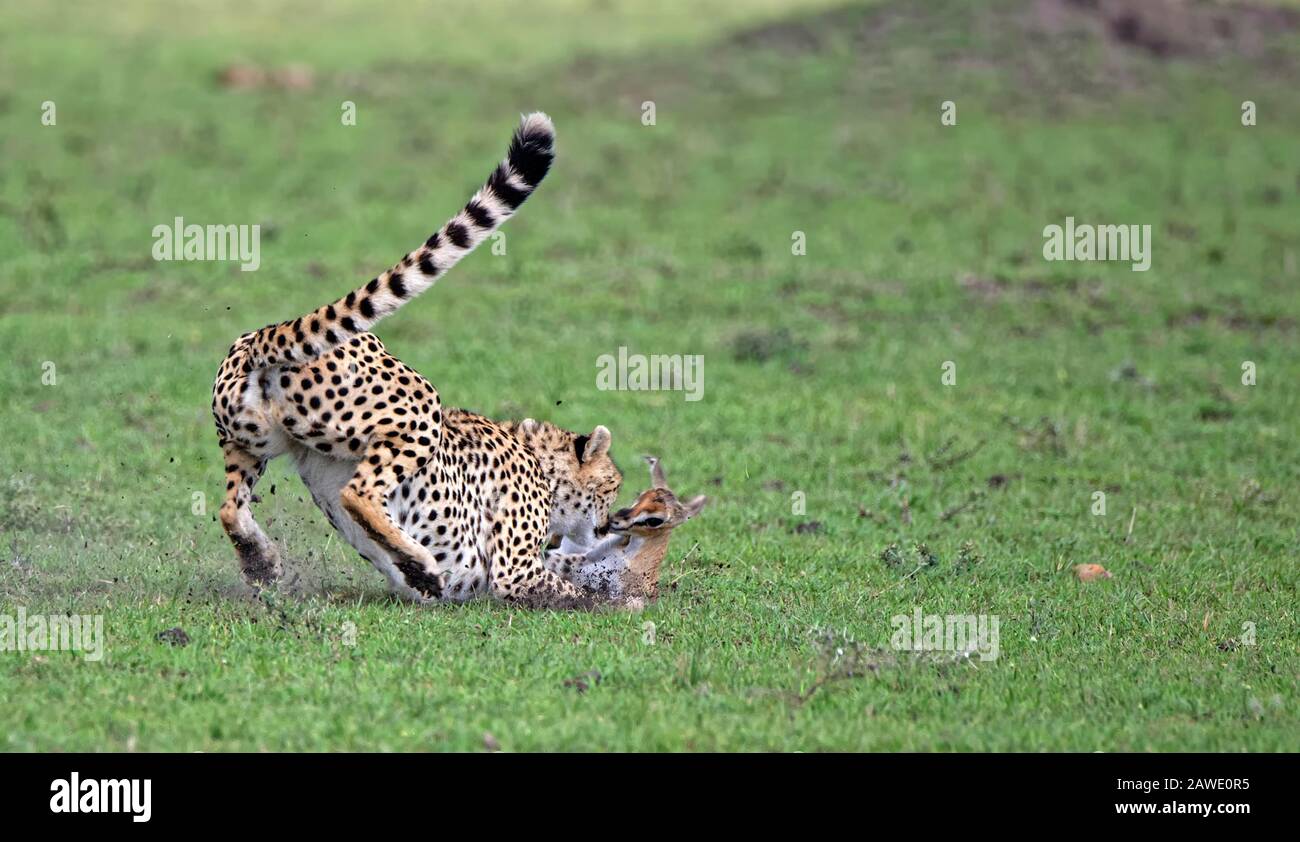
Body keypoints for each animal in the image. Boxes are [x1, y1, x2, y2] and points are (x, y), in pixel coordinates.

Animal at [210, 114, 626, 608]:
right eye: (612, 485)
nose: (609, 524)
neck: (536, 455)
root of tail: (263, 336)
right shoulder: (514, 572)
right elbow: (571, 589)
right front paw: (621, 600)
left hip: (250, 439)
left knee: (230, 508)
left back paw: (263, 562)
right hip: (417, 410)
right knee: (358, 493)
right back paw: (419, 564)